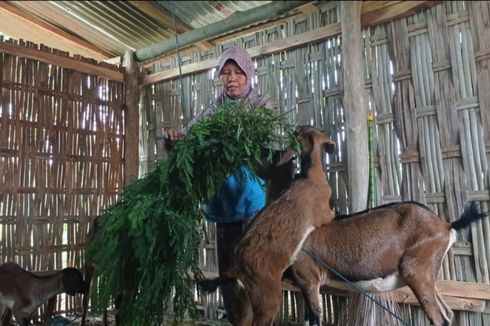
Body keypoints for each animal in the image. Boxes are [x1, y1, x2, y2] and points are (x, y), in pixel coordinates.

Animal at [286, 201, 488, 326]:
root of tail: (446, 225)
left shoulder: (308, 279)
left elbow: (314, 319)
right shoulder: (305, 284)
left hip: (415, 271)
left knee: (439, 318)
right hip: (428, 275)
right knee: (447, 312)